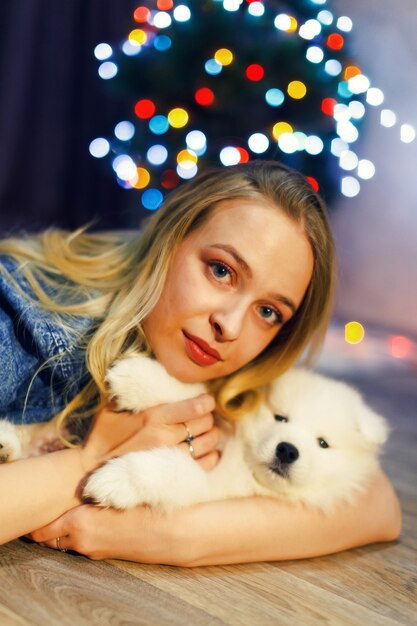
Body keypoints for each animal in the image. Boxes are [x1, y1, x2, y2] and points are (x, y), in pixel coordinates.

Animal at [80, 354, 386, 510]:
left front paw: (116, 479)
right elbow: (200, 395)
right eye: (280, 417)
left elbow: (173, 468)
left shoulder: (211, 488)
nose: (287, 450)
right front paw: (136, 377)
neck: (244, 463)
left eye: (323, 443)